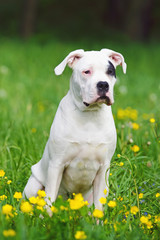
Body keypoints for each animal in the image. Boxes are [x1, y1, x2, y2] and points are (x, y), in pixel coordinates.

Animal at [23, 48, 126, 210]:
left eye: (110, 71)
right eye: (86, 72)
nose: (103, 85)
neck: (90, 115)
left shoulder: (103, 169)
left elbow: (99, 206)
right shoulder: (57, 165)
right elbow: (49, 200)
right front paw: (46, 217)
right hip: (33, 185)